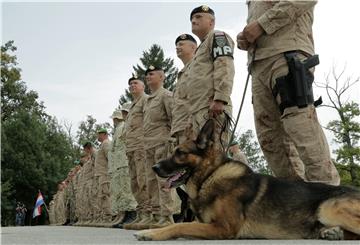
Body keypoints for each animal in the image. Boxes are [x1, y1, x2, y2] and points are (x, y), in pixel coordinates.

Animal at [135, 119, 360, 240]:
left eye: (180, 153)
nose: (154, 167)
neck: (210, 176)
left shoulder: (224, 228)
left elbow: (181, 226)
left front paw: (150, 233)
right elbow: (183, 225)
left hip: (328, 208)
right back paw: (331, 233)